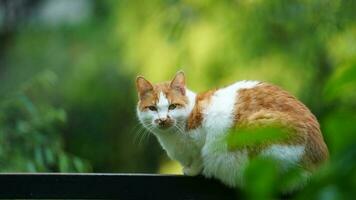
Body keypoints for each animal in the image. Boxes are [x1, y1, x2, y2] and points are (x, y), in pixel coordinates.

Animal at [136, 70, 328, 189]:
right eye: (152, 108)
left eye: (172, 106)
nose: (163, 119)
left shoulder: (202, 141)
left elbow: (199, 158)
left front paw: (191, 170)